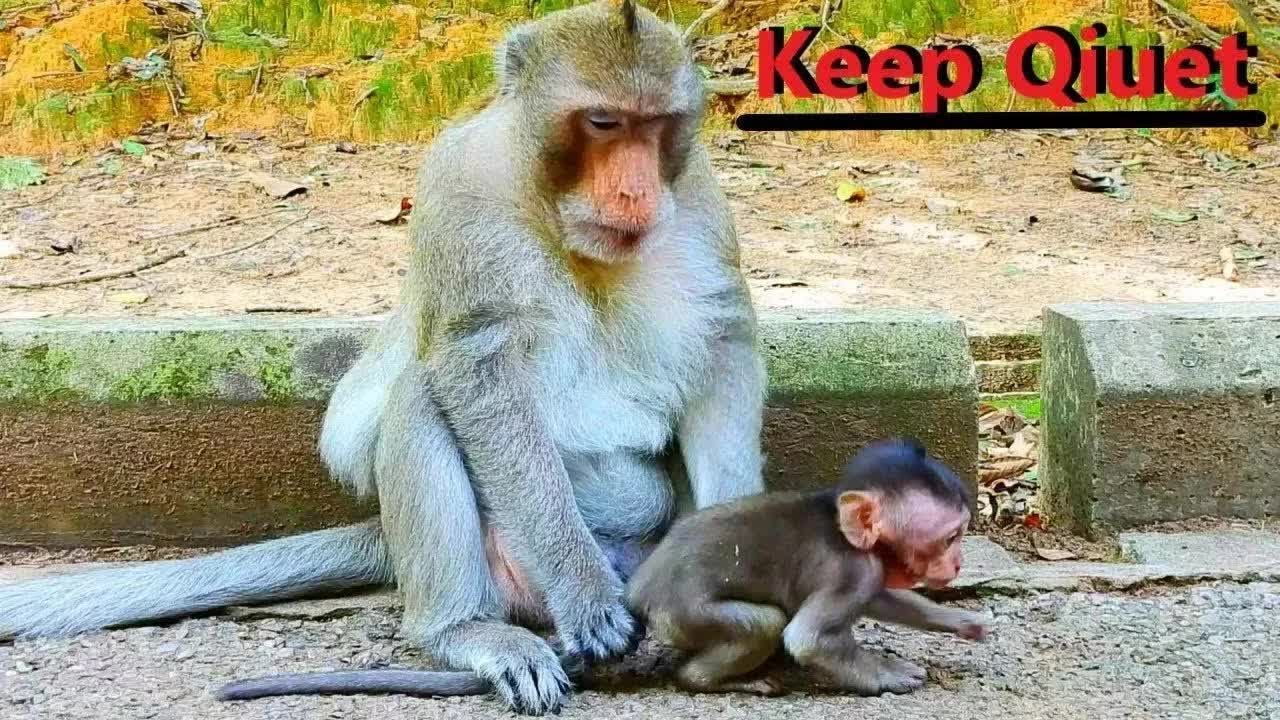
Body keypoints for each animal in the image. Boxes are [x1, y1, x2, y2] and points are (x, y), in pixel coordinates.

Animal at [0, 2, 767, 715]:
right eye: (604, 123)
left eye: (655, 125)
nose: (636, 190)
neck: (556, 210)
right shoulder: (459, 185)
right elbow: (475, 365)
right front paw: (583, 594)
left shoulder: (698, 194)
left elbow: (723, 343)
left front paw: (734, 577)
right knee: (425, 396)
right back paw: (466, 630)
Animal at [210, 438, 985, 704]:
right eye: (950, 532)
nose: (955, 560)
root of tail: (637, 593)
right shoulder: (849, 571)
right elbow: (810, 638)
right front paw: (883, 675)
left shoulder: (870, 573)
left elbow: (893, 602)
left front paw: (959, 622)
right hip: (687, 613)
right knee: (763, 626)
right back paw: (718, 679)